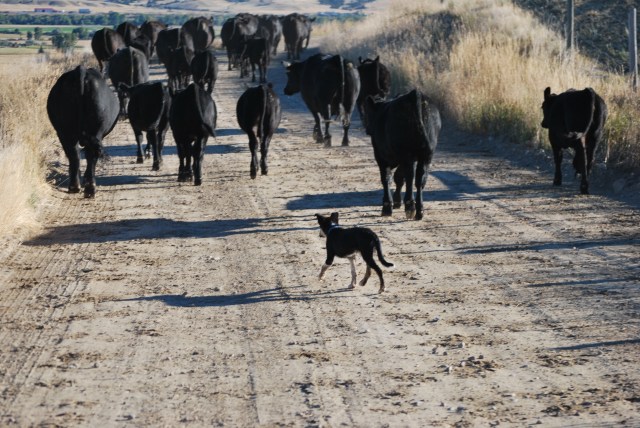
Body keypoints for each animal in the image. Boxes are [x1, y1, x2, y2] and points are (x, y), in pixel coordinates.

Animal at [47, 65, 119, 198]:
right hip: (94, 131)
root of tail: (81, 71)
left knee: (73, 155)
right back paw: (90, 188)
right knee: (90, 155)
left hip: (65, 132)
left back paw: (75, 186)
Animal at [364, 89, 441, 220]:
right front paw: (396, 201)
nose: (367, 130)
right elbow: (399, 177)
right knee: (420, 179)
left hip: (407, 153)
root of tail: (414, 94)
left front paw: (387, 206)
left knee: (410, 176)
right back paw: (419, 210)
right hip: (426, 155)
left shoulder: (380, 156)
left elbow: (387, 178)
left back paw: (410, 207)